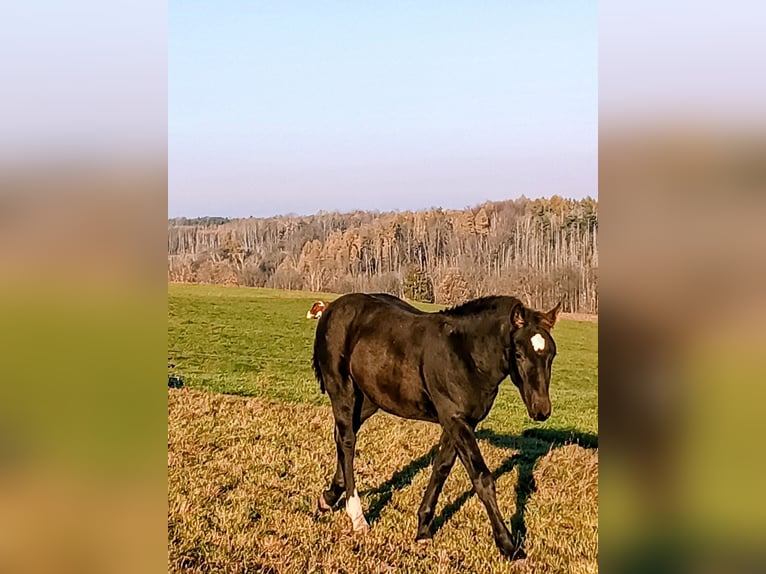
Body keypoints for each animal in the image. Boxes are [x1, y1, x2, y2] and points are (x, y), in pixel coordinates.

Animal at [312, 292, 561, 558]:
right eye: (519, 354)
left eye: (551, 355)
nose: (541, 409)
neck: (465, 353)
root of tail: (332, 308)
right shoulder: (454, 418)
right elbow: (481, 477)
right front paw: (509, 545)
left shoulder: (462, 422)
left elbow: (441, 468)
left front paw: (423, 529)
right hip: (342, 390)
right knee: (348, 441)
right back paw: (357, 516)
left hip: (370, 399)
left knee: (341, 436)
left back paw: (329, 497)